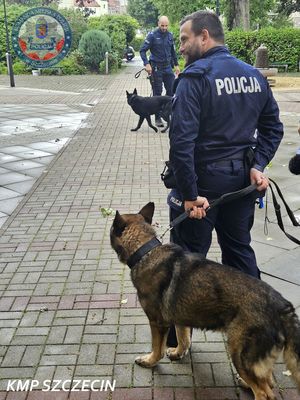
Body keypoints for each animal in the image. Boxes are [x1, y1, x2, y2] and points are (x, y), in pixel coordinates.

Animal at [110, 203, 300, 400]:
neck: (146, 250)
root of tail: (282, 306)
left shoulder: (157, 322)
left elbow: (158, 348)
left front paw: (150, 361)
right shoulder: (180, 318)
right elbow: (184, 339)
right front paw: (178, 353)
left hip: (239, 354)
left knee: (264, 392)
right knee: (268, 381)